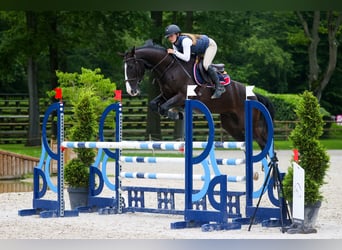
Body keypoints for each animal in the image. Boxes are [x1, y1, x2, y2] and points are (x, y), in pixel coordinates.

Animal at [121, 40, 276, 149]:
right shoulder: (166, 95)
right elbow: (154, 105)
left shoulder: (181, 96)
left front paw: (175, 114)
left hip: (249, 123)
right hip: (231, 124)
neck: (169, 68)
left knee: (263, 142)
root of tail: (254, 95)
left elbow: (164, 107)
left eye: (131, 67)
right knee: (245, 140)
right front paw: (176, 114)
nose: (131, 91)